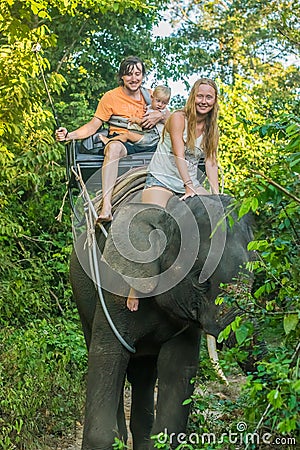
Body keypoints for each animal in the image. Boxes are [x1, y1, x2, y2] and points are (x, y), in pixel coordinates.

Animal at [69, 190, 260, 450]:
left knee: (143, 375)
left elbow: (178, 367)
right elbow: (107, 355)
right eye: (200, 280)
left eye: (254, 274)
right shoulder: (116, 288)